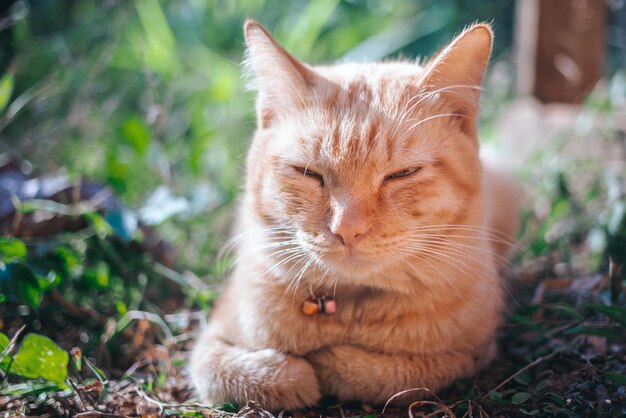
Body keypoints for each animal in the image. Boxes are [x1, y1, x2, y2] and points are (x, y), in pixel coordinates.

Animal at [188, 20, 520, 412]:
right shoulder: (210, 343)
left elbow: (395, 374)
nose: (347, 229)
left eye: (402, 174)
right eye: (308, 173)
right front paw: (295, 374)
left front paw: (332, 364)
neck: (348, 308)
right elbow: (250, 373)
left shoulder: (473, 353)